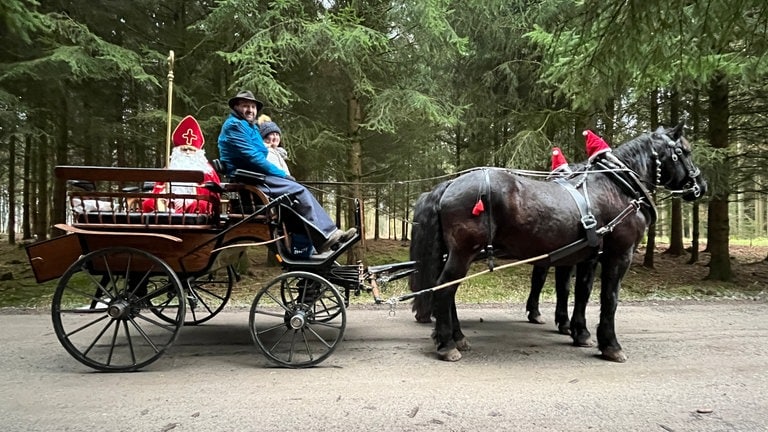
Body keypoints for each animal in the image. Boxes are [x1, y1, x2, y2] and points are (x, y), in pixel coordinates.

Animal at [412, 124, 704, 362]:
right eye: (685, 151)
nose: (701, 186)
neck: (617, 187)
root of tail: (449, 184)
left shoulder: (588, 256)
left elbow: (581, 292)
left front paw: (580, 332)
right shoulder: (619, 254)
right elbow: (609, 298)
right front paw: (610, 345)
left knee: (446, 291)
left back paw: (456, 337)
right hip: (463, 253)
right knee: (444, 289)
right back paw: (448, 344)